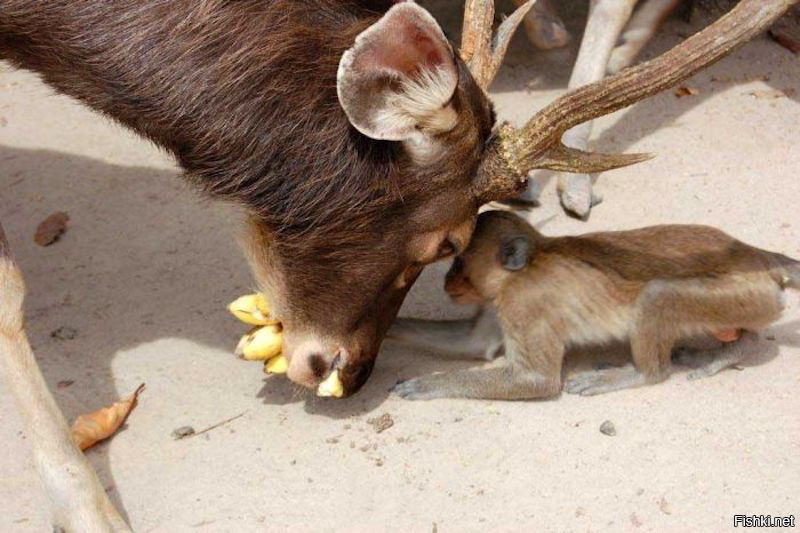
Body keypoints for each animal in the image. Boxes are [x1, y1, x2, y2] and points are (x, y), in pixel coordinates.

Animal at [390, 210, 796, 402]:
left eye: (458, 264)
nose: (447, 282)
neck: (525, 268)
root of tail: (757, 256)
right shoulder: (500, 301)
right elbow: (475, 343)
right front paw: (388, 331)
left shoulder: (525, 304)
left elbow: (536, 380)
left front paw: (429, 384)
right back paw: (736, 348)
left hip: (740, 295)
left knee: (657, 294)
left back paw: (642, 374)